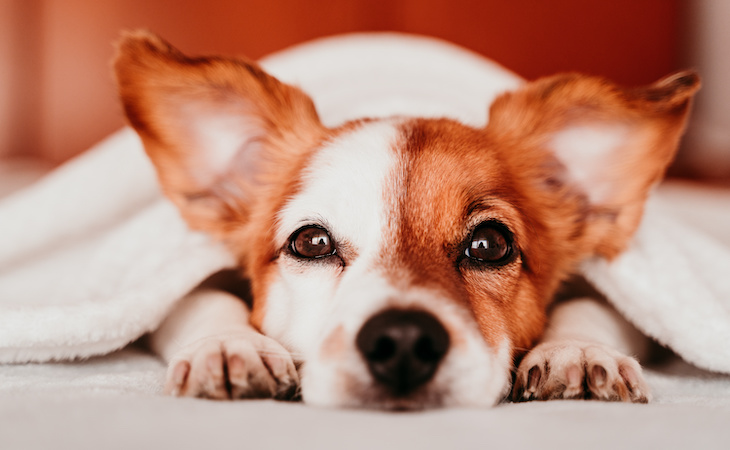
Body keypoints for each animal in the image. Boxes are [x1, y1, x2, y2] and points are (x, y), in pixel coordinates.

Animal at [115, 30, 700, 412]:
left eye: (490, 245)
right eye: (312, 242)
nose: (400, 341)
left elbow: (591, 304)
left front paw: (576, 349)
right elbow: (201, 298)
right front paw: (226, 346)